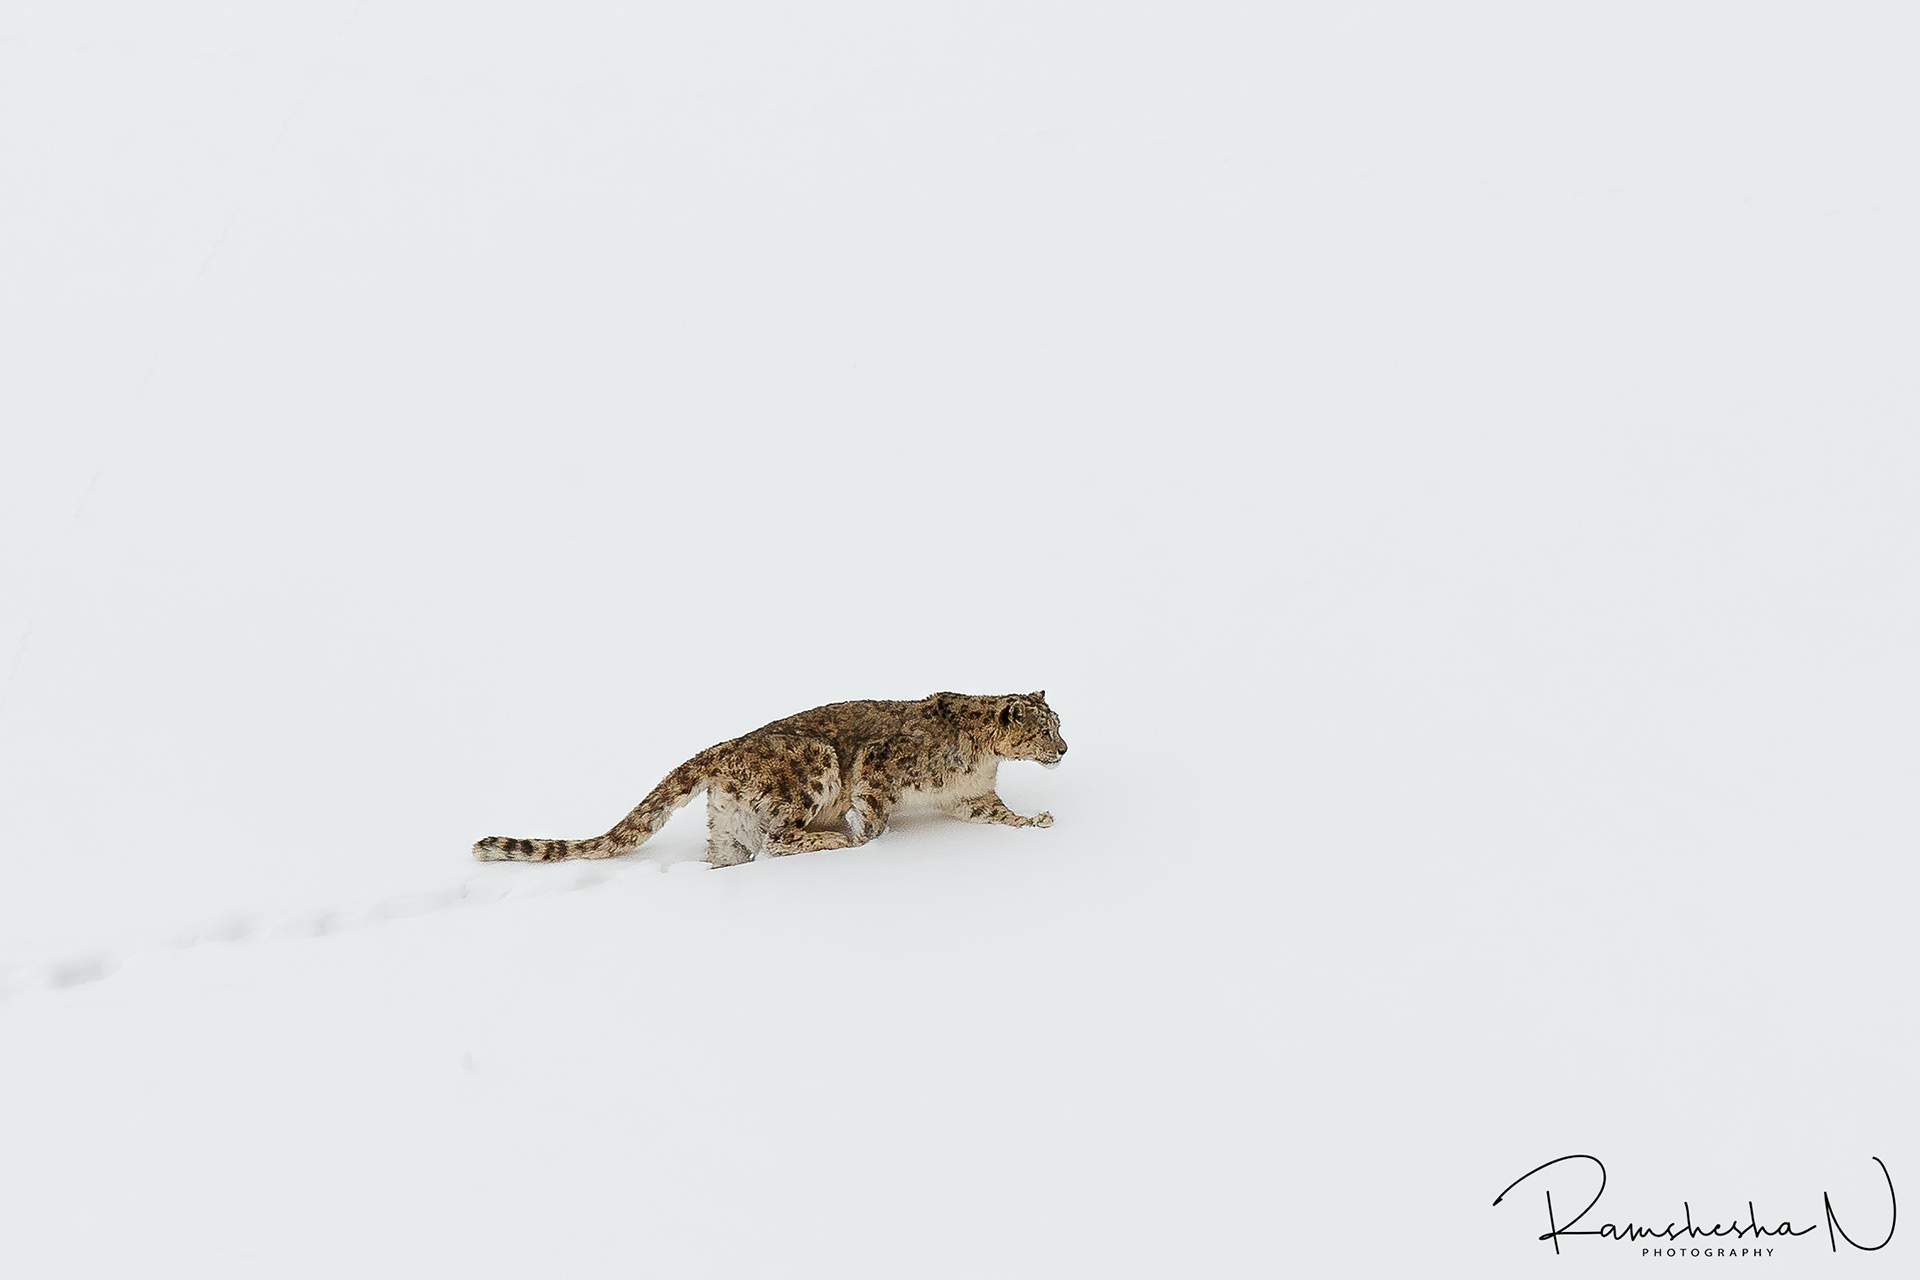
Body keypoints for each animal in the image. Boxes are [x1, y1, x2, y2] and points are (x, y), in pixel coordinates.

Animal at [473, 691, 1066, 867]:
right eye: (1044, 728)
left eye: (1058, 723)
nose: (1062, 749)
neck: (982, 760)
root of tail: (721, 750)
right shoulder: (880, 766)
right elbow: (874, 812)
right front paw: (869, 838)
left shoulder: (974, 797)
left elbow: (1000, 814)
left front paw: (1038, 820)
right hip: (814, 768)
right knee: (780, 839)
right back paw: (832, 840)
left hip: (729, 826)